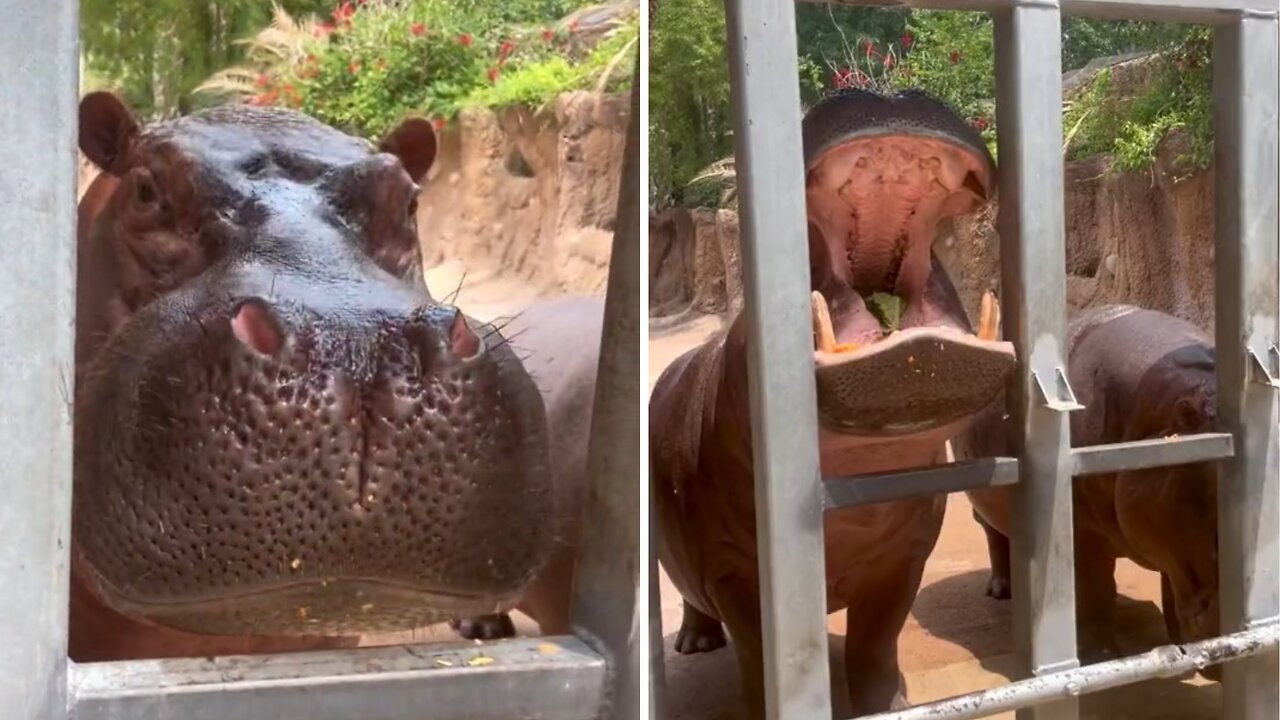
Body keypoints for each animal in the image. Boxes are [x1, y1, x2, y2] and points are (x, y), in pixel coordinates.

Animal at [655, 88, 1013, 712]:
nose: (889, 93)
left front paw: (889, 703)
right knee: (692, 603)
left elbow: (876, 641)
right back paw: (694, 644)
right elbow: (758, 657)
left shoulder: (905, 558)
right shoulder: (735, 573)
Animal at [962, 301, 1223, 666]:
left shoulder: (1166, 528)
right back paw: (1002, 591)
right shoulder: (1082, 533)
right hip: (983, 512)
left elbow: (1169, 587)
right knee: (996, 539)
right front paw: (1102, 658)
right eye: (1216, 533)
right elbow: (1093, 592)